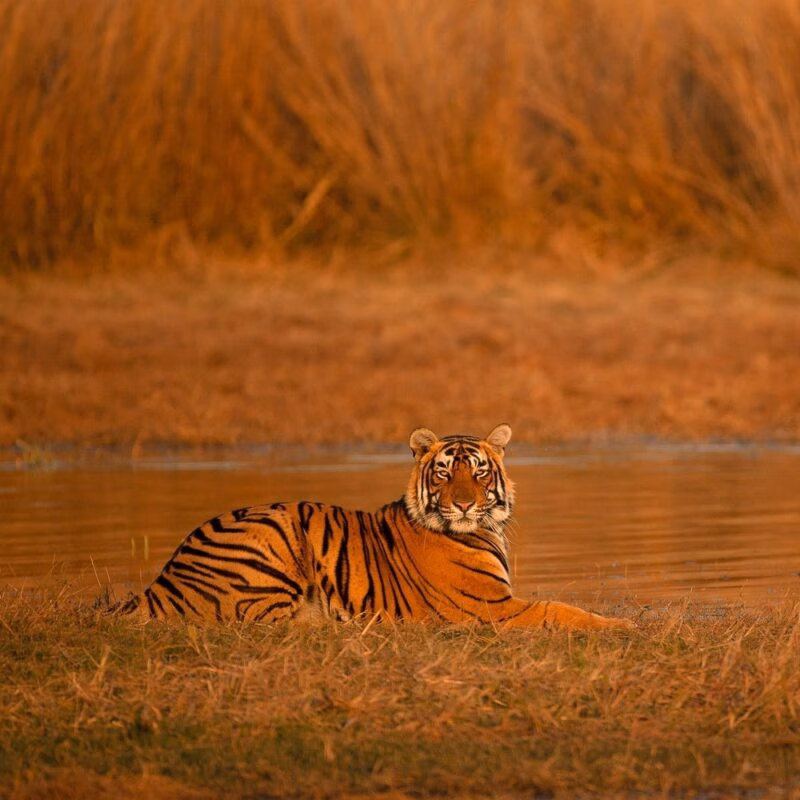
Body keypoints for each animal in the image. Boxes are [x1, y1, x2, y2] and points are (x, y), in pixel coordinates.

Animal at [113, 424, 633, 631]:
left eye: (480, 471)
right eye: (444, 473)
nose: (464, 503)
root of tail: (162, 580)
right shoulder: (492, 609)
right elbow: (560, 609)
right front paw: (625, 625)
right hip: (274, 534)